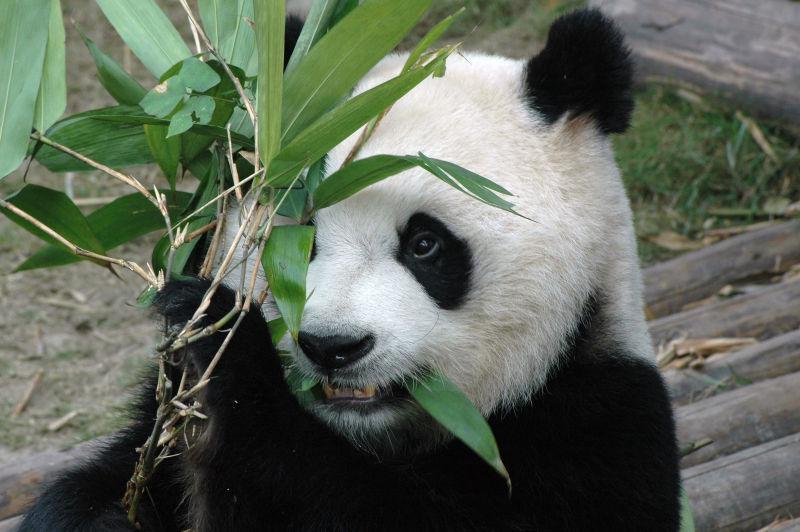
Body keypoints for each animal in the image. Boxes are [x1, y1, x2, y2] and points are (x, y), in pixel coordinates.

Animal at [20, 8, 680, 532]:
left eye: (425, 245)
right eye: (301, 238)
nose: (332, 346)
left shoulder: (595, 427)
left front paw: (227, 352)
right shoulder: (152, 426)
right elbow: (106, 483)